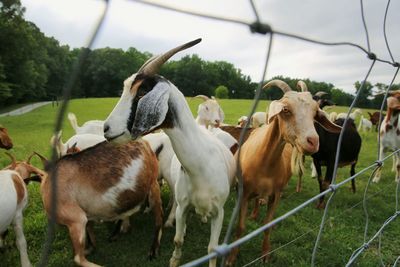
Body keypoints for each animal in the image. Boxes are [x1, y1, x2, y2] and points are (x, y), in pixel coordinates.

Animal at [101, 39, 238, 267]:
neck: (202, 167)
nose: (106, 129)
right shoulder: (183, 206)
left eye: (141, 92)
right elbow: (178, 239)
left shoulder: (219, 211)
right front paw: (174, 260)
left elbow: (212, 248)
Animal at [225, 79, 340, 266]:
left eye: (315, 113)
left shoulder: (275, 194)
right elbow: (240, 227)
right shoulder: (243, 193)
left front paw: (265, 254)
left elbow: (268, 224)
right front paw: (231, 258)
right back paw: (254, 213)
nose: (313, 141)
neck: (264, 165)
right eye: (285, 109)